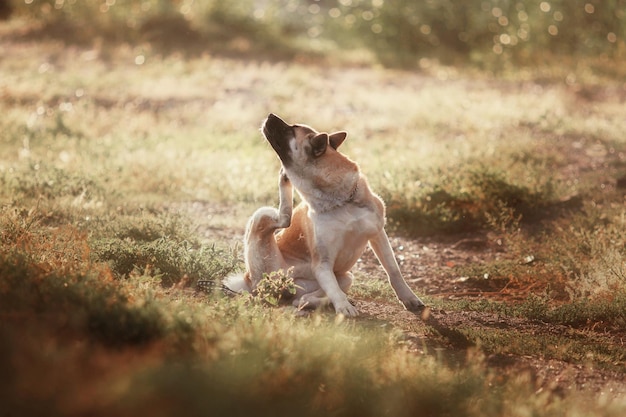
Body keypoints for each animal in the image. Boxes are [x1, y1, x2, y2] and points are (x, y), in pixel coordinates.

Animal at [224, 114, 424, 316]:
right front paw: (344, 306)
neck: (341, 201)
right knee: (284, 219)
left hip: (345, 277)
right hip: (262, 219)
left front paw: (409, 298)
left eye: (291, 129)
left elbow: (393, 270)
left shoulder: (377, 234)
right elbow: (334, 289)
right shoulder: (322, 263)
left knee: (302, 299)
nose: (270, 115)